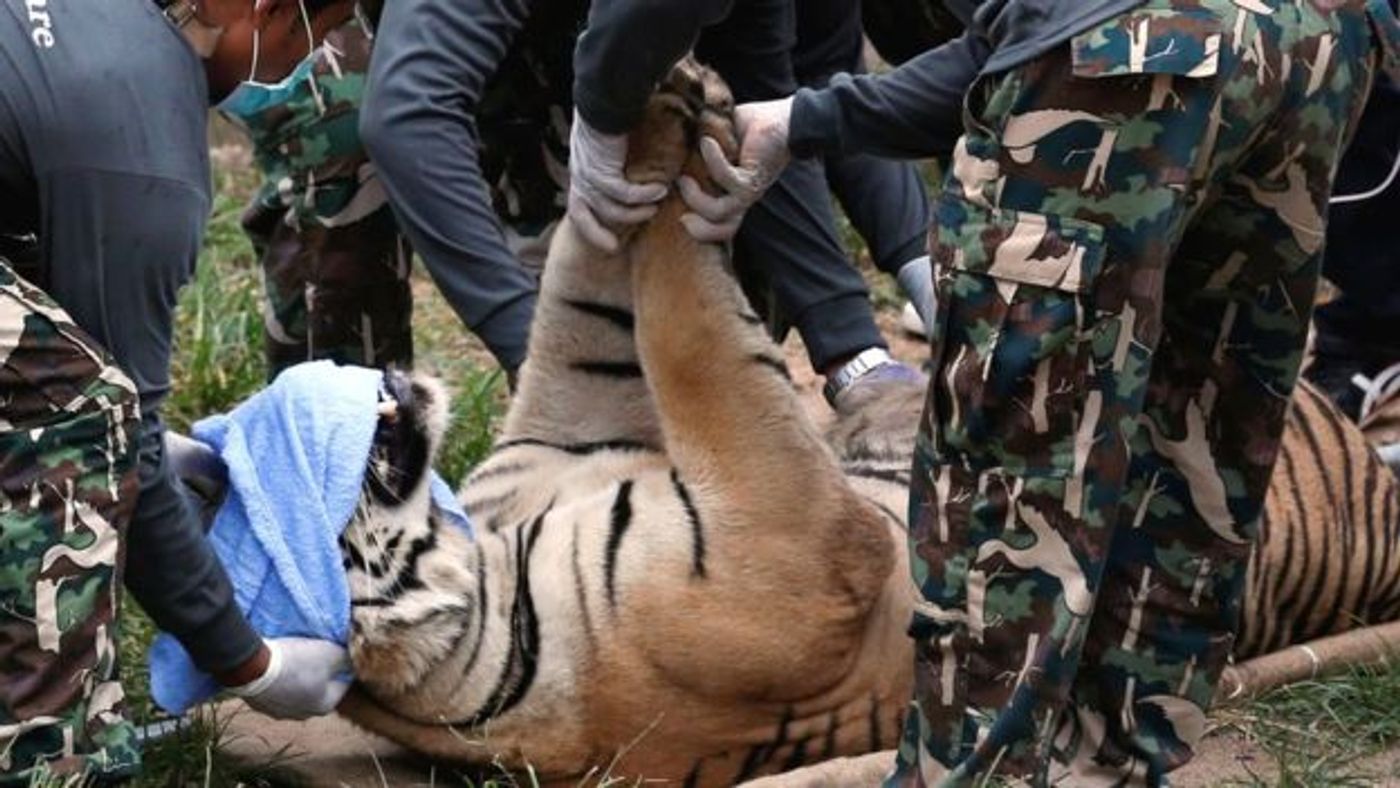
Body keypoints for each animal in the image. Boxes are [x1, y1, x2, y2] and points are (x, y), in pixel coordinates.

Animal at [333, 58, 1400, 783]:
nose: (373, 378)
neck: (493, 569)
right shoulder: (799, 538)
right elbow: (689, 322)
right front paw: (690, 130)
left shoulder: (566, 424)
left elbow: (597, 270)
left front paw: (663, 113)